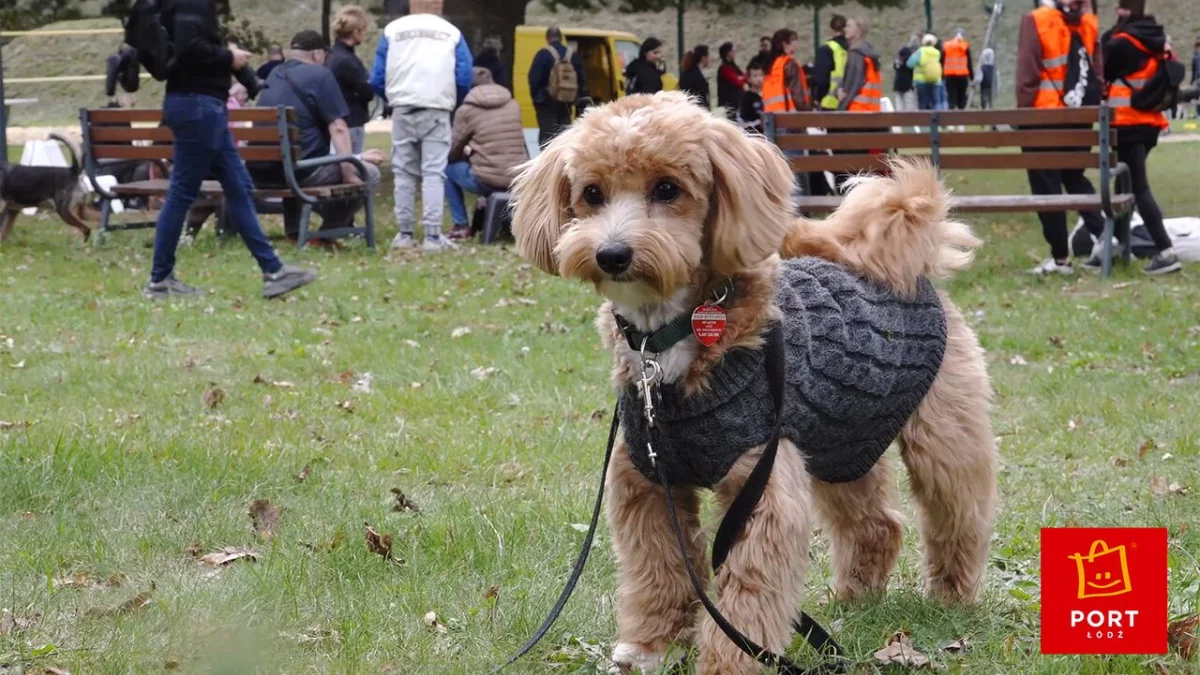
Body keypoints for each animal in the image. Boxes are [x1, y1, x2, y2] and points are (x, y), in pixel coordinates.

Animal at [511, 91, 998, 667]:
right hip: (840, 440)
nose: (612, 253)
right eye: (591, 193)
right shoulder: (647, 481)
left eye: (667, 189)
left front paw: (731, 662)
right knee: (875, 523)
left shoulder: (759, 488)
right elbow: (659, 571)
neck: (667, 342)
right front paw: (651, 646)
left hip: (942, 436)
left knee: (957, 512)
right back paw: (855, 598)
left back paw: (952, 596)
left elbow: (746, 595)